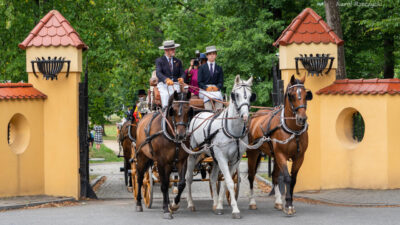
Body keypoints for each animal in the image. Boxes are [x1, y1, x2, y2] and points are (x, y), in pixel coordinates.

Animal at [134, 90, 193, 219]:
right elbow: (164, 185)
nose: (181, 135)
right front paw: (166, 209)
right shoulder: (161, 162)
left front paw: (174, 205)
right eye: (173, 110)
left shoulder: (182, 161)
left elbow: (181, 184)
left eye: (189, 111)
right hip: (141, 157)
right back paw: (139, 203)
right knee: (140, 178)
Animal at [185, 75, 255, 218]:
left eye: (251, 96)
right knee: (188, 178)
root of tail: (198, 114)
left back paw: (215, 204)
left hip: (214, 157)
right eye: (236, 95)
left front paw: (220, 206)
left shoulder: (234, 160)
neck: (232, 131)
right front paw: (235, 210)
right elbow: (229, 182)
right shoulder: (222, 158)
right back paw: (190, 204)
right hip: (194, 154)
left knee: (212, 179)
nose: (245, 116)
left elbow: (226, 183)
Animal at [247, 74, 312, 215]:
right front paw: (288, 205)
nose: (302, 119)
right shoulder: (281, 155)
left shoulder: (299, 157)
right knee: (251, 176)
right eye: (291, 95)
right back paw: (252, 202)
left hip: (274, 156)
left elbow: (293, 179)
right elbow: (287, 178)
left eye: (306, 95)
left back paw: (278, 202)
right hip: (253, 152)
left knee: (275, 176)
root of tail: (255, 115)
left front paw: (288, 203)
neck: (293, 130)